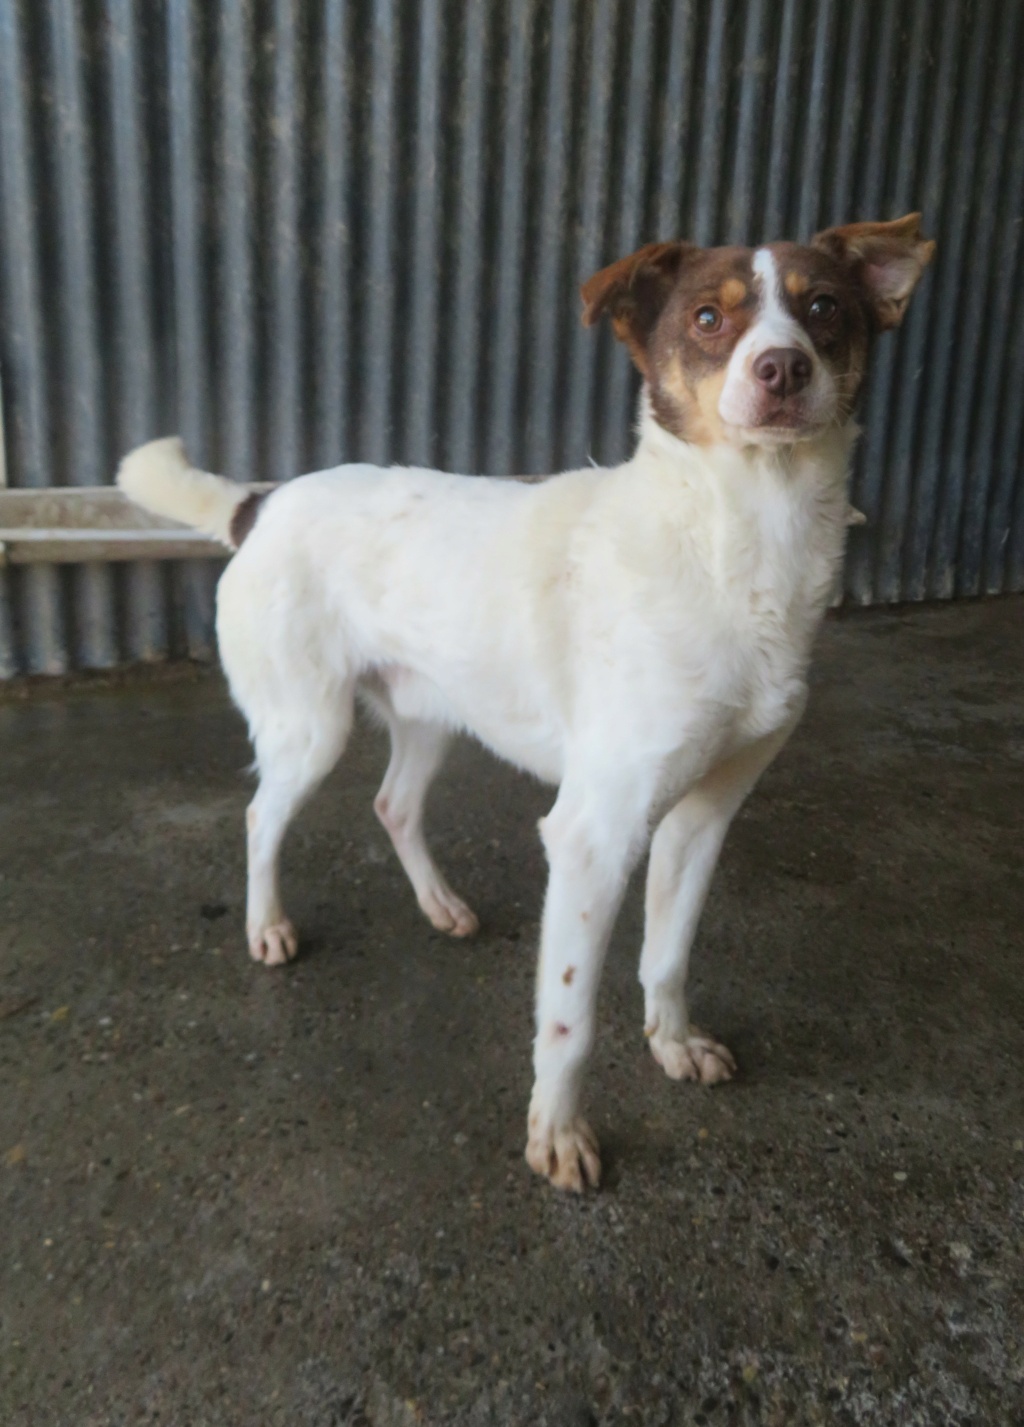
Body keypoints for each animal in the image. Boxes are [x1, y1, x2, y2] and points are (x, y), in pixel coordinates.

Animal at [120, 211, 941, 1192]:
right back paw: (268, 925)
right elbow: (570, 1017)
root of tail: (260, 504)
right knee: (258, 817)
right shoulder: (594, 833)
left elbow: (668, 955)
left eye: (823, 309)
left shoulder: (705, 814)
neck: (736, 540)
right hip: (309, 727)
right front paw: (557, 1133)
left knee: (393, 803)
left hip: (432, 715)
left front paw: (673, 1041)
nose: (783, 369)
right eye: (708, 318)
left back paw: (440, 906)